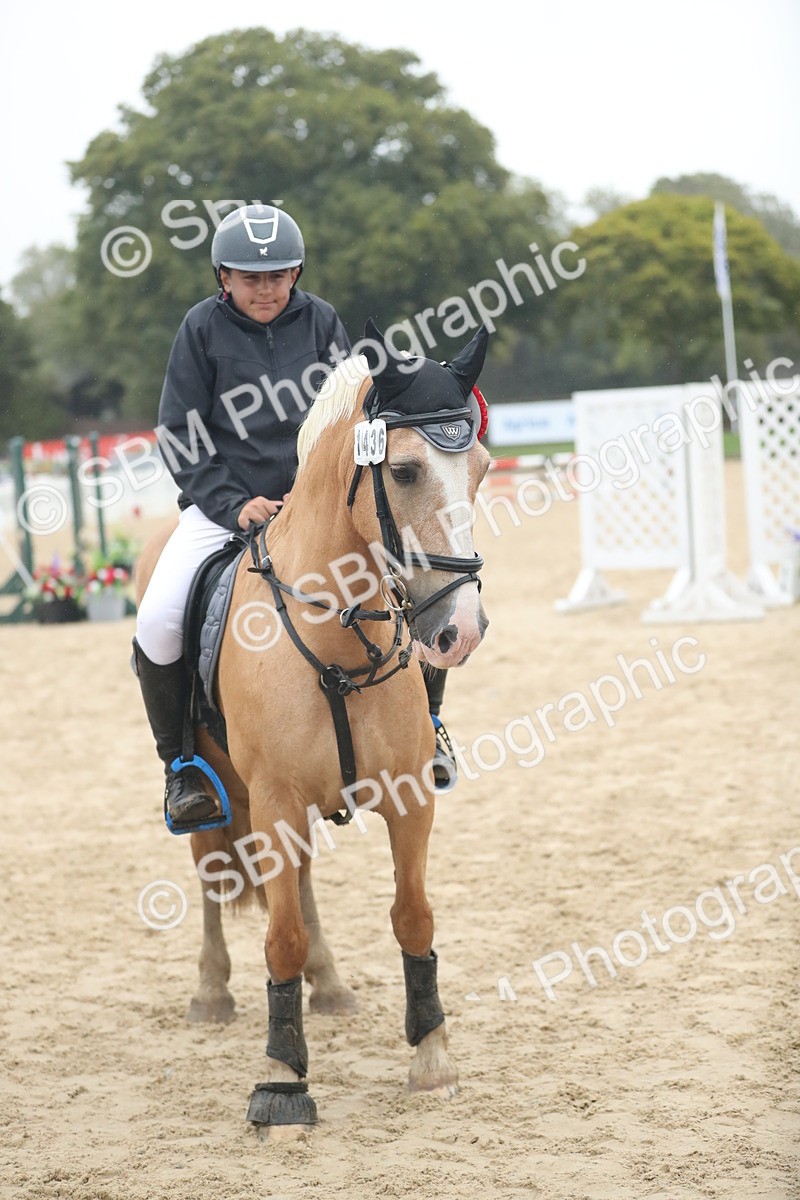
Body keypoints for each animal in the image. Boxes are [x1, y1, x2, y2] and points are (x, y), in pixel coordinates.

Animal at [134, 320, 491, 1138]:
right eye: (405, 471)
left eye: (483, 470)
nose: (461, 630)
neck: (336, 640)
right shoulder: (272, 798)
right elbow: (280, 935)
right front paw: (281, 1081)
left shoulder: (407, 799)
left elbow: (412, 917)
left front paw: (432, 1059)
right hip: (225, 798)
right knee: (213, 874)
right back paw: (211, 993)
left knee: (295, 884)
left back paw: (327, 984)